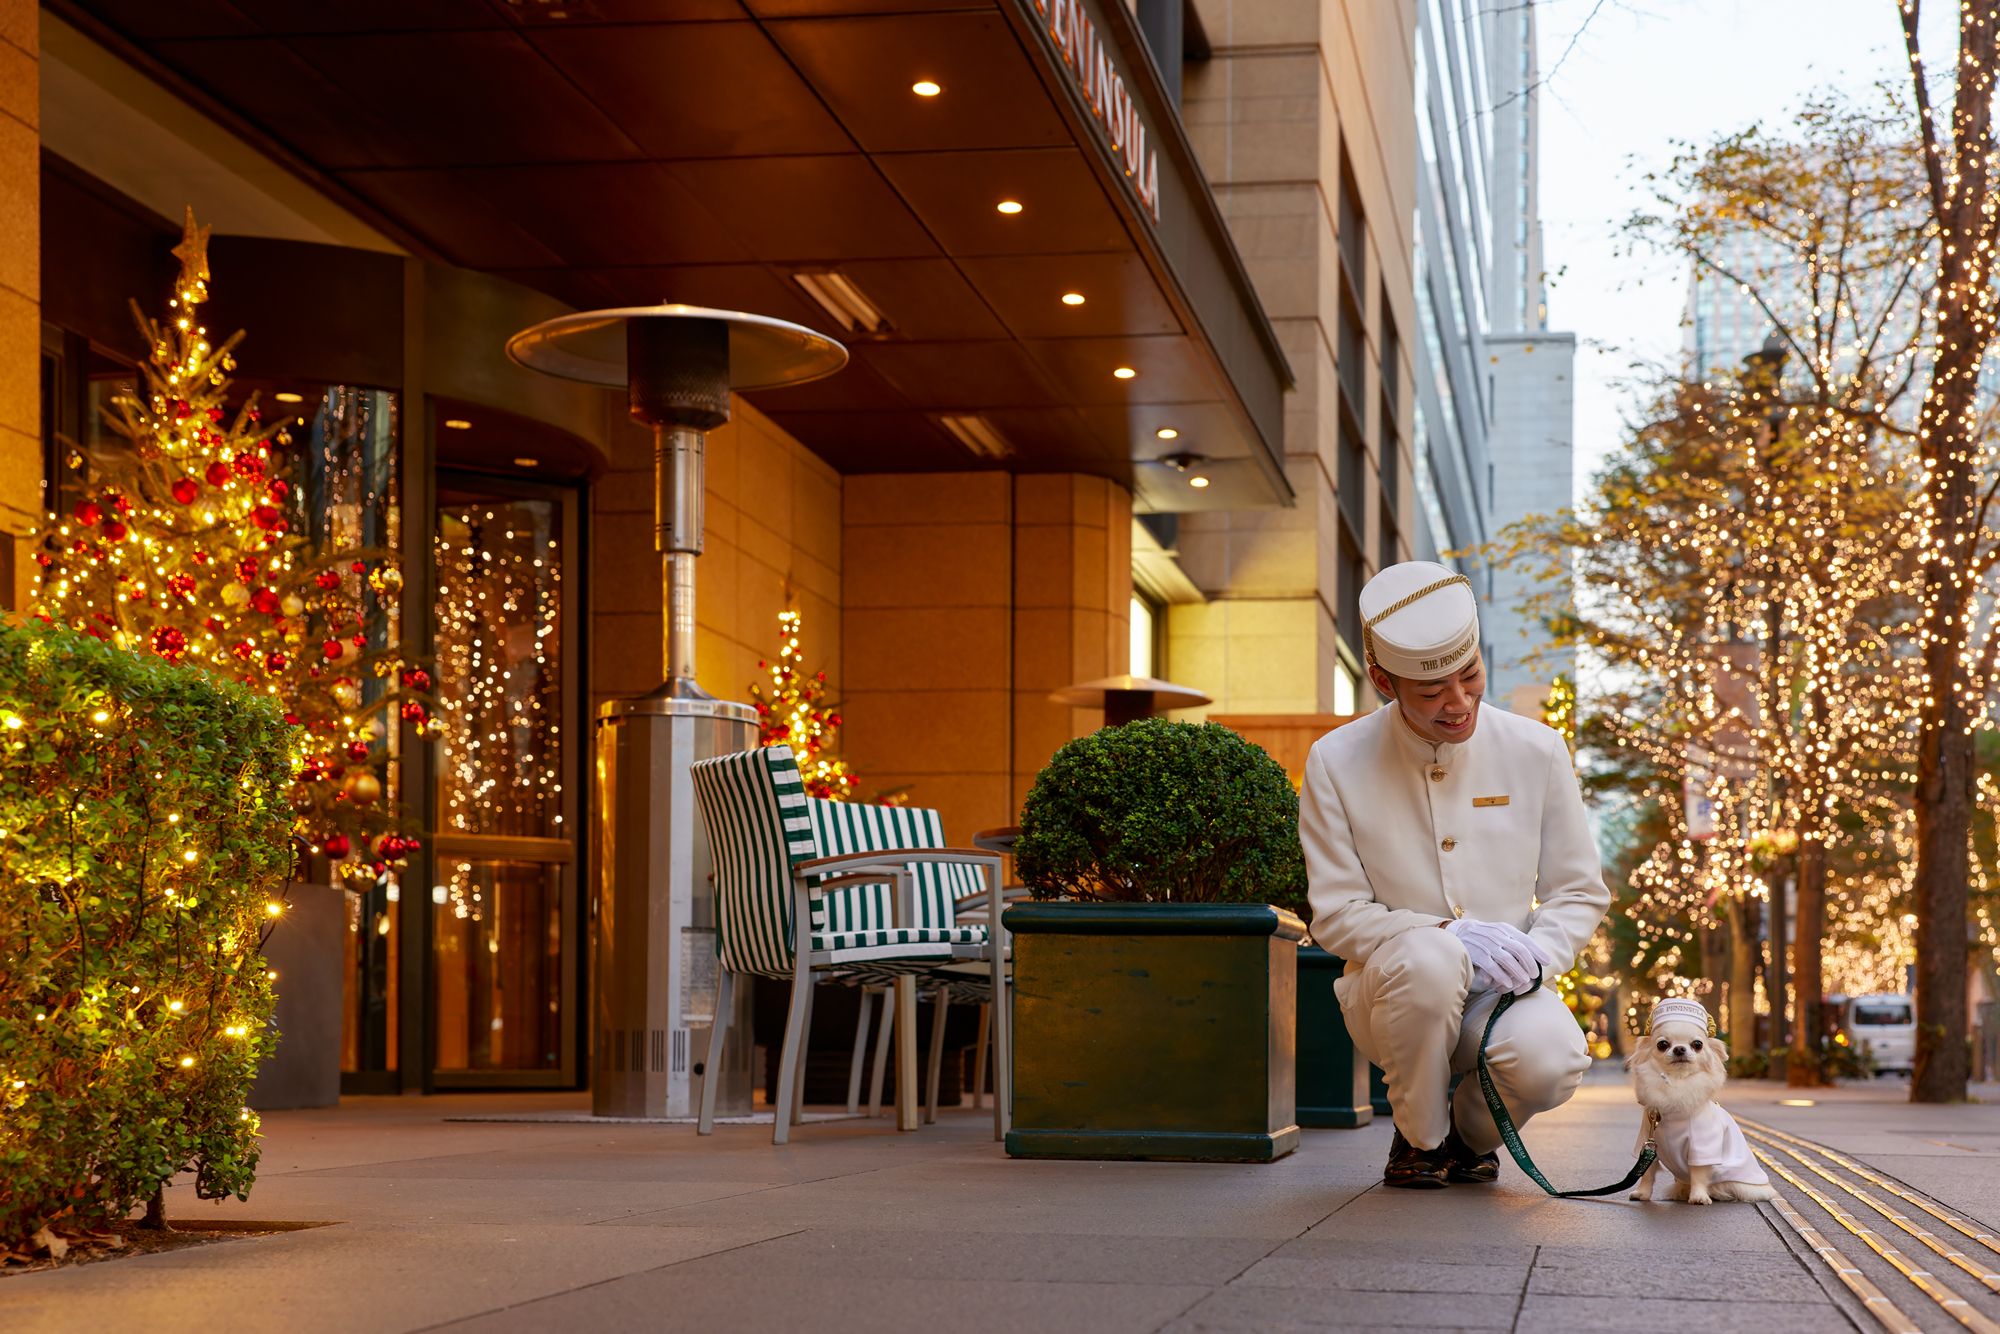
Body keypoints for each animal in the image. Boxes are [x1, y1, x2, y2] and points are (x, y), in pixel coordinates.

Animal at [1624, 1000, 1784, 1208]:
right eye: (1662, 1044)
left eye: (1697, 1044)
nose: (1679, 1049)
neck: (1677, 1083)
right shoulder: (1649, 1144)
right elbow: (1647, 1174)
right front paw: (1642, 1194)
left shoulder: (1701, 1147)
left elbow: (1699, 1175)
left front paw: (1699, 1197)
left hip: (1741, 1183)